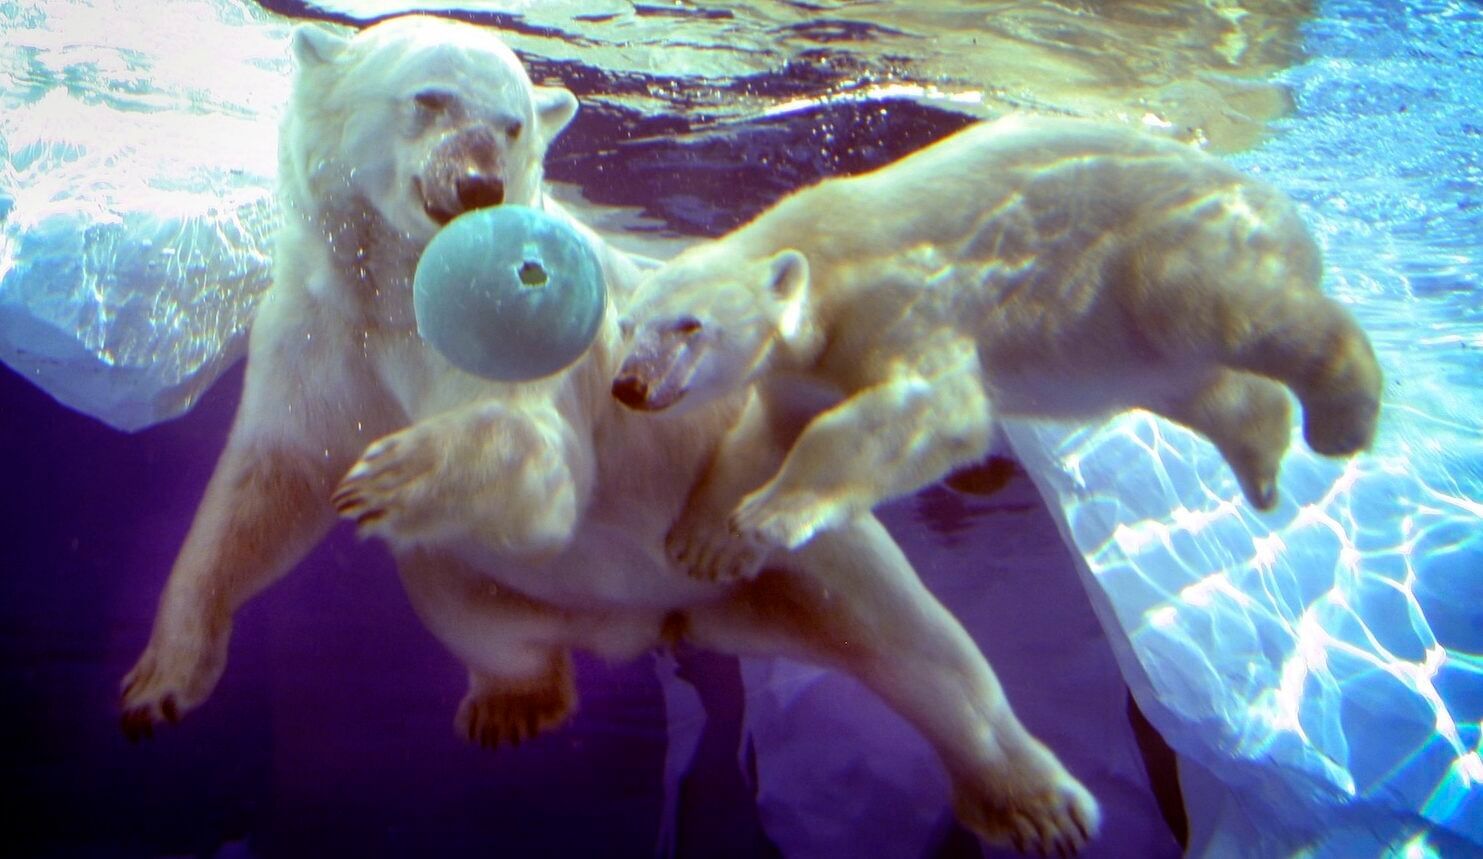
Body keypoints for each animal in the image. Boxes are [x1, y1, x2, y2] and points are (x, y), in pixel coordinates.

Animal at [120, 18, 1100, 854]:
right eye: (429, 98)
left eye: (513, 125)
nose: (478, 188)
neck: (401, 286)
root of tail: (653, 620)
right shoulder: (318, 328)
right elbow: (267, 485)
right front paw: (158, 684)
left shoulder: (522, 317)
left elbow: (542, 460)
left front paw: (394, 469)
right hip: (503, 583)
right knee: (461, 595)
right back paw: (515, 702)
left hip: (777, 543)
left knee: (911, 641)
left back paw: (1035, 802)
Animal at [612, 113, 1383, 582]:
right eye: (628, 326)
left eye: (689, 326)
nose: (629, 386)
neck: (822, 263)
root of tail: (1286, 214)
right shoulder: (804, 369)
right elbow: (763, 433)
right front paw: (704, 542)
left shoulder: (905, 302)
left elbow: (923, 415)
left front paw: (769, 515)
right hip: (1135, 347)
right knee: (1211, 391)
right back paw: (1264, 467)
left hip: (1166, 254)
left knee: (1240, 315)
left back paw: (1342, 420)